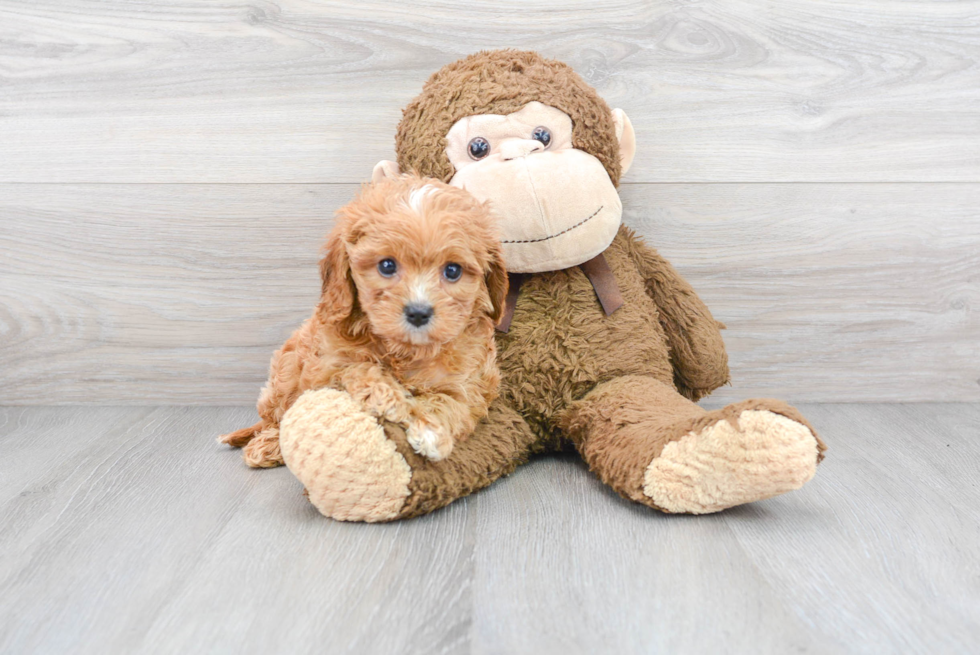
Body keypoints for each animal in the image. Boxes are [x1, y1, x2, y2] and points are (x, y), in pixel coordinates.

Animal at [219, 176, 510, 466]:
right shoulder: (327, 367)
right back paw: (267, 444)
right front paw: (393, 401)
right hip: (287, 368)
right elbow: (360, 368)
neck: (404, 351)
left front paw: (431, 429)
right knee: (276, 417)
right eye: (387, 266)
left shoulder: (467, 386)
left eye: (452, 270)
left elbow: (449, 403)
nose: (418, 313)